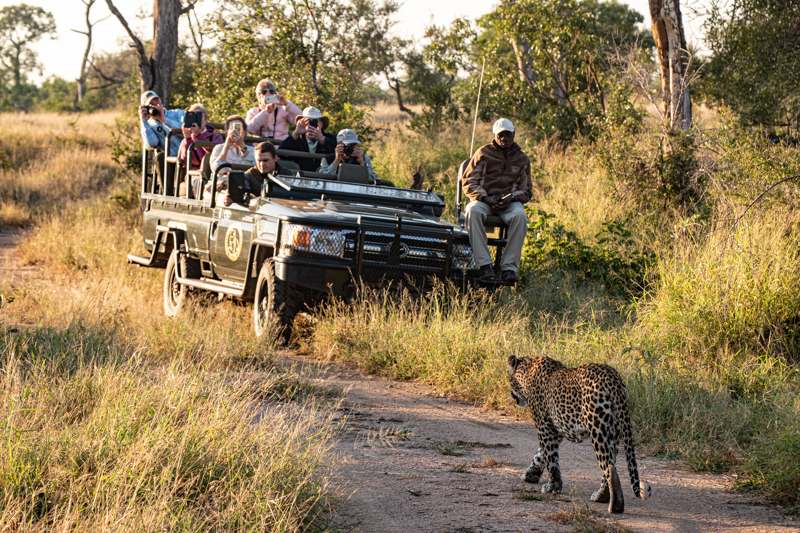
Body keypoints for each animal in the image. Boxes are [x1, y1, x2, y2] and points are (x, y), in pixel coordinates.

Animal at [510, 354, 652, 512]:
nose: (511, 395)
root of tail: (612, 377)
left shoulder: (545, 427)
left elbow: (550, 459)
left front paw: (552, 487)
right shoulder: (555, 430)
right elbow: (540, 454)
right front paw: (531, 474)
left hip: (597, 428)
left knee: (608, 466)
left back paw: (614, 504)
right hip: (614, 430)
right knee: (611, 463)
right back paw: (601, 497)